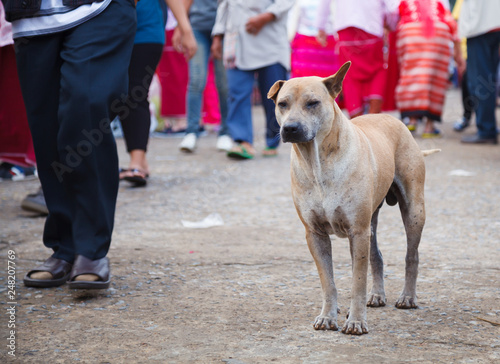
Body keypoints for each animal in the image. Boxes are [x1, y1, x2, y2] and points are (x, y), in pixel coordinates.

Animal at [268, 61, 440, 334]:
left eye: (312, 103)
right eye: (282, 104)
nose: (290, 128)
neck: (317, 162)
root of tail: (393, 119)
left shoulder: (357, 231)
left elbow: (357, 281)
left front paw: (356, 321)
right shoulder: (315, 234)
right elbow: (328, 281)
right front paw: (328, 316)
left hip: (413, 210)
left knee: (411, 255)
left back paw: (407, 297)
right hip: (371, 220)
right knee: (376, 256)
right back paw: (377, 295)